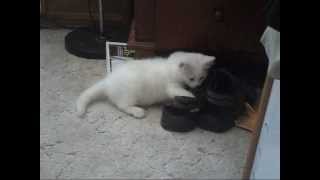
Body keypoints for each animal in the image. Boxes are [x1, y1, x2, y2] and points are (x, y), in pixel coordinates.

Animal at [75, 51, 215, 118]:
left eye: (201, 78)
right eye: (191, 78)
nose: (197, 86)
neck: (170, 67)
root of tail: (108, 81)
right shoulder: (171, 86)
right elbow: (183, 93)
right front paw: (194, 99)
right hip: (130, 93)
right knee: (122, 106)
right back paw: (137, 111)